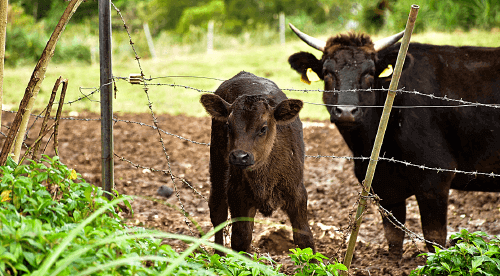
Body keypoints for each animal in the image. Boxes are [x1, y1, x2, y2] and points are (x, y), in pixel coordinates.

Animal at [288, 24, 500, 258]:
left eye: (369, 73)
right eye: (327, 73)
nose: (346, 111)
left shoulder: (435, 178)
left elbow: (434, 239)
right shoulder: (383, 186)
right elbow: (393, 236)